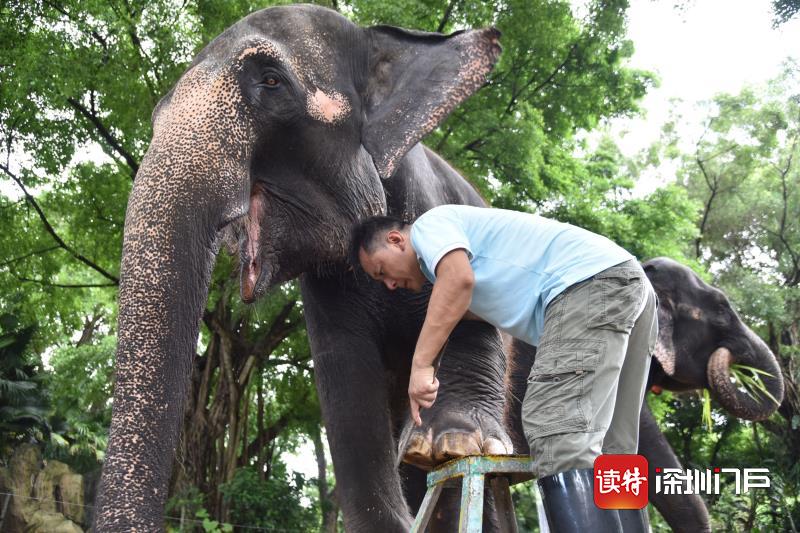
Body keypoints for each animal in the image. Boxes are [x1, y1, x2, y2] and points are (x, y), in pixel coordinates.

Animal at [94, 3, 510, 528]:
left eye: (272, 81)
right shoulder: (329, 294)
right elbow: (347, 390)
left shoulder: (439, 209)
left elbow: (471, 309)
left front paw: (455, 439)